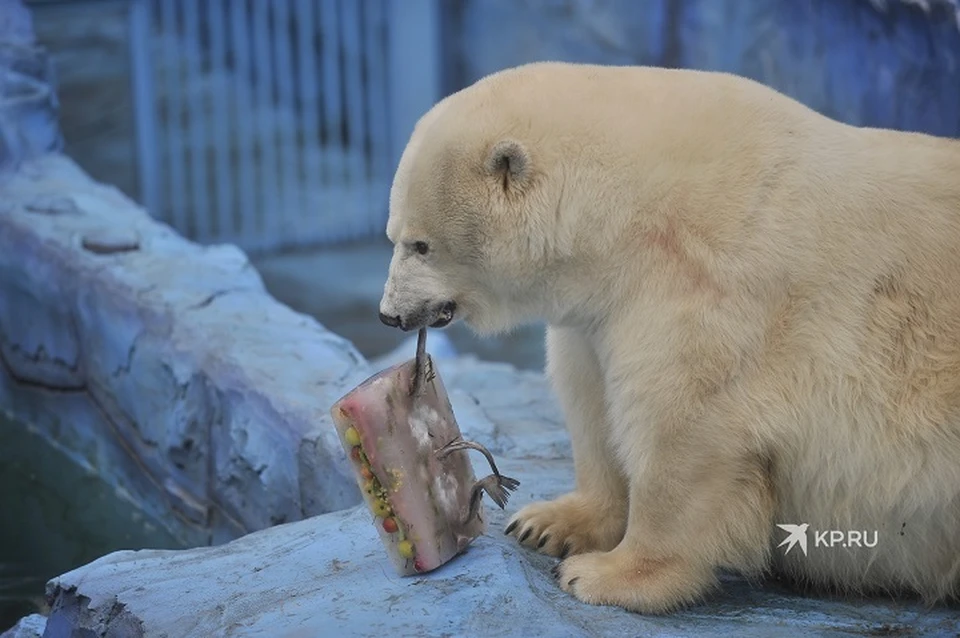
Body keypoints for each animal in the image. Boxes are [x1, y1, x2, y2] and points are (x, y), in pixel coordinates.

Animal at [376, 63, 960, 616]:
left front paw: (607, 576)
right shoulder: (599, 311)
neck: (628, 209)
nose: (389, 315)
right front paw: (547, 524)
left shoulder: (708, 287)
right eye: (393, 235)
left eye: (421, 244)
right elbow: (592, 400)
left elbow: (683, 429)